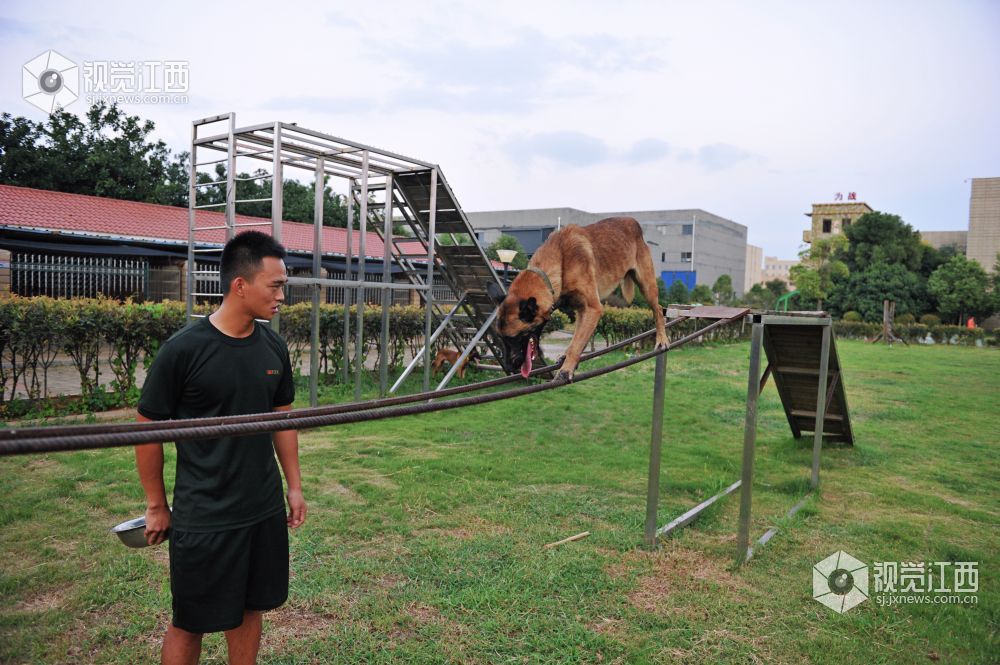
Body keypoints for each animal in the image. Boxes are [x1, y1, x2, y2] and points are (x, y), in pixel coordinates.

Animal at [488, 217, 668, 382]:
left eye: (516, 337)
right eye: (501, 338)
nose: (509, 368)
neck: (559, 263)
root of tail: (633, 222)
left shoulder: (593, 308)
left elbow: (577, 343)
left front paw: (566, 370)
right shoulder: (582, 310)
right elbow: (577, 339)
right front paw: (568, 360)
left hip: (646, 286)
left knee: (658, 309)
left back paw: (662, 339)